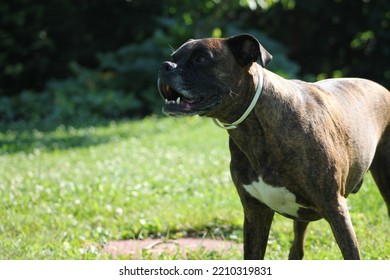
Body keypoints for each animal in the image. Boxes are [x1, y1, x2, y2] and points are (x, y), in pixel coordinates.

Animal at [156, 34, 390, 260]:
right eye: (174, 57)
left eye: (202, 58)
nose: (165, 66)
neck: (255, 127)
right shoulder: (255, 213)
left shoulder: (335, 209)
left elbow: (352, 254)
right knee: (297, 250)